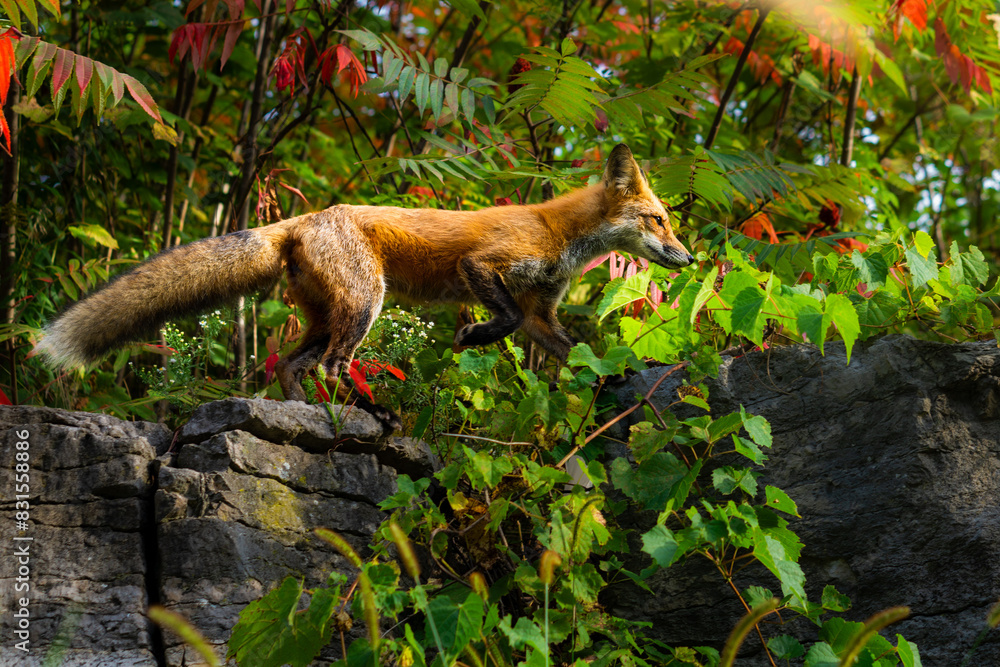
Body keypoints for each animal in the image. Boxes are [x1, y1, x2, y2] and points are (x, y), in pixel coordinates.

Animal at [36, 143, 693, 430]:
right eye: (657, 220)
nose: (688, 258)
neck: (561, 235)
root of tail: (303, 218)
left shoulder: (541, 315)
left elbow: (576, 351)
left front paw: (618, 379)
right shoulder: (482, 267)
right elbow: (500, 318)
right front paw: (474, 338)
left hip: (326, 315)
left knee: (292, 365)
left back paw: (303, 411)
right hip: (363, 305)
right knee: (331, 365)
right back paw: (368, 415)